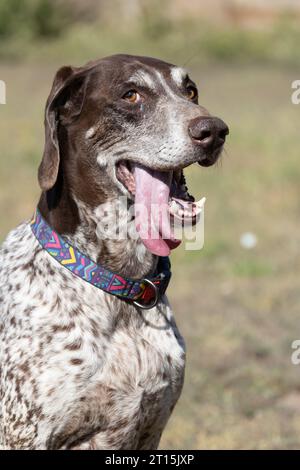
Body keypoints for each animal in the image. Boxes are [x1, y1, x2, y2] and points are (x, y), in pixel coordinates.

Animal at [0, 54, 227, 448]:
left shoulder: (149, 429)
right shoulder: (24, 435)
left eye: (190, 91)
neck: (123, 288)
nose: (214, 130)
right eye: (131, 95)